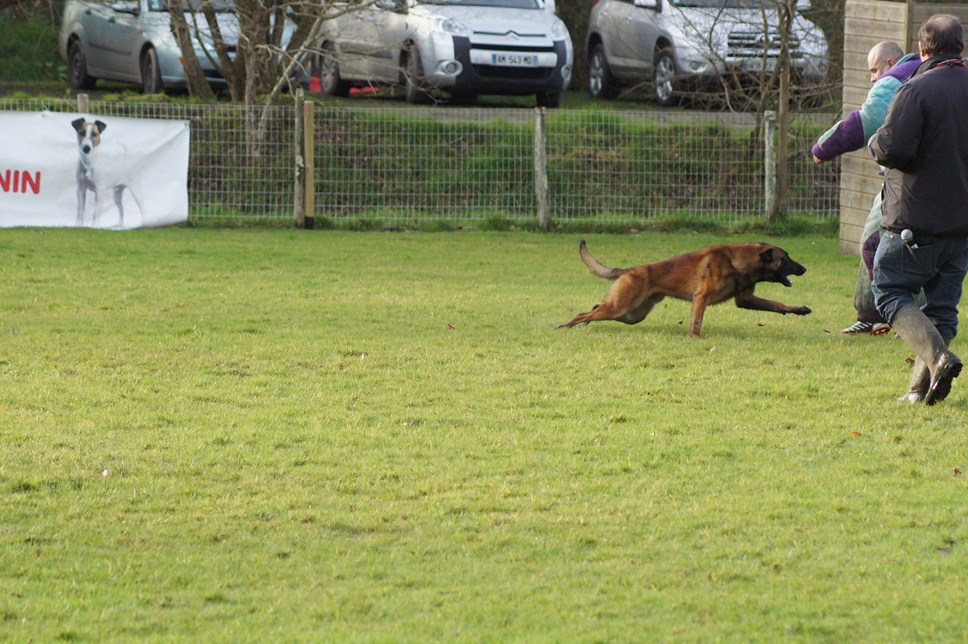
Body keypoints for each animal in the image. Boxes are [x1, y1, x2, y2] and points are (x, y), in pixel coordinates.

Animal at [560, 236, 808, 338]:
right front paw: (696, 339)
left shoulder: (746, 300)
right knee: (584, 312)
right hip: (621, 308)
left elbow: (776, 304)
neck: (737, 262)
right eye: (785, 258)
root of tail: (630, 270)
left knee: (594, 308)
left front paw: (798, 309)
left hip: (631, 314)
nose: (805, 268)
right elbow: (696, 322)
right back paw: (564, 326)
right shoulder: (701, 298)